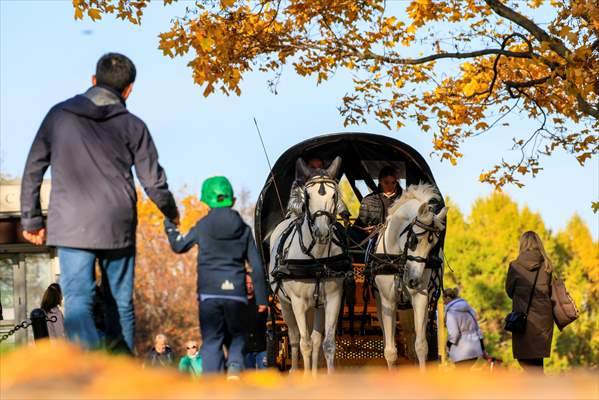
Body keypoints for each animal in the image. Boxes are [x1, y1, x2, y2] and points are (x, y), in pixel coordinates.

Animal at [268, 157, 344, 376]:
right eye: (307, 196)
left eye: (334, 195)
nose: (322, 231)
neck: (316, 260)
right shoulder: (298, 303)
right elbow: (305, 343)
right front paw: (306, 377)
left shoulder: (334, 298)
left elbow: (327, 343)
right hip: (285, 304)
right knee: (295, 337)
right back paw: (295, 370)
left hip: (317, 306)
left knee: (316, 338)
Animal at [372, 184, 448, 368]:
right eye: (414, 239)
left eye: (434, 246)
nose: (413, 281)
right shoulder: (388, 301)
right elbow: (390, 351)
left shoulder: (420, 298)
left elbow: (420, 346)